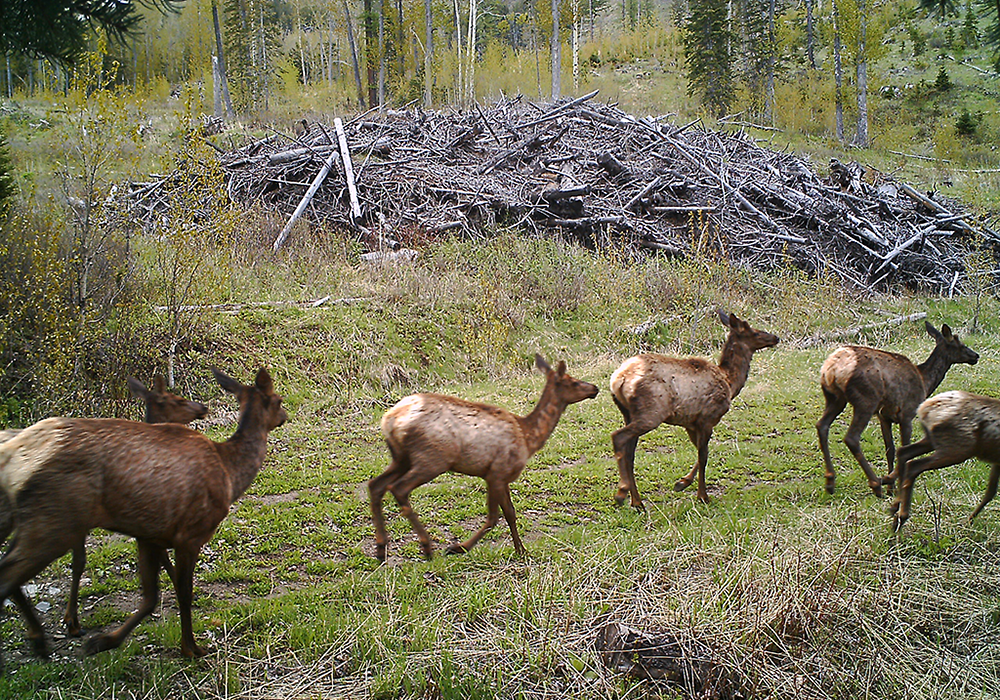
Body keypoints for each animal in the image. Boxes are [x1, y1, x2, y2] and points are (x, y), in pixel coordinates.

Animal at [369, 354, 598, 562]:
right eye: (573, 381)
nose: (595, 388)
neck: (529, 437)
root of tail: (390, 419)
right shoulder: (497, 472)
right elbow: (493, 518)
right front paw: (458, 547)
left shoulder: (501, 477)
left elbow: (511, 513)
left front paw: (521, 550)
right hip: (431, 458)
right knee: (399, 488)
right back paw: (426, 546)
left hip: (401, 458)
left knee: (376, 485)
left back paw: (381, 548)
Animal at [610, 310, 779, 508]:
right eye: (753, 331)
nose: (775, 337)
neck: (730, 383)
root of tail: (619, 380)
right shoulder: (708, 418)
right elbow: (703, 455)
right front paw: (702, 496)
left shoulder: (691, 423)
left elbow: (701, 453)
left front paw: (682, 482)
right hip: (650, 414)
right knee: (618, 437)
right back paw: (622, 493)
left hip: (629, 414)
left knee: (629, 454)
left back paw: (637, 502)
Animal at [816, 321, 978, 498]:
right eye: (960, 344)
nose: (975, 356)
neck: (925, 382)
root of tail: (832, 368)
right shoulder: (907, 413)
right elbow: (904, 449)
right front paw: (897, 485)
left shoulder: (884, 417)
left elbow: (890, 450)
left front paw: (892, 488)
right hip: (865, 400)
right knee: (851, 438)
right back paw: (875, 484)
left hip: (834, 398)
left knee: (822, 425)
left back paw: (830, 481)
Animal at [892, 391, 1000, 531]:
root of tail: (925, 408)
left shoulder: (997, 462)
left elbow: (990, 493)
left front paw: (969, 521)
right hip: (956, 449)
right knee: (913, 465)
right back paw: (902, 516)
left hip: (932, 441)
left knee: (903, 452)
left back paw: (895, 506)